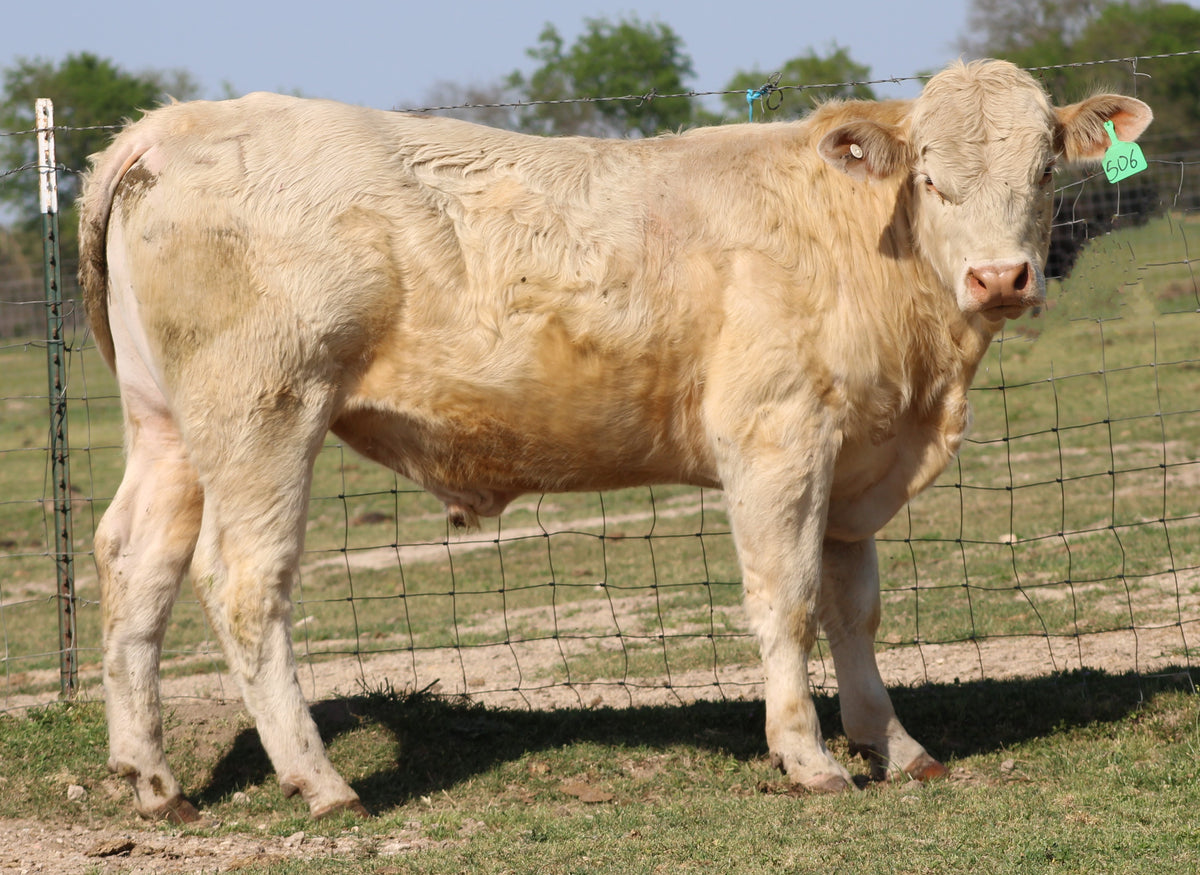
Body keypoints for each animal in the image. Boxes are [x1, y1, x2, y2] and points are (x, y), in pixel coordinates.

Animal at [77, 60, 1151, 822]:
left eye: (1044, 171)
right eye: (931, 176)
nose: (1001, 278)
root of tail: (174, 121)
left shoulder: (859, 460)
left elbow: (856, 610)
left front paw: (893, 745)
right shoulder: (778, 436)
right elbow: (789, 599)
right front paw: (808, 758)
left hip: (168, 425)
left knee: (137, 560)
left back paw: (150, 778)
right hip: (265, 408)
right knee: (243, 579)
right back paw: (318, 779)